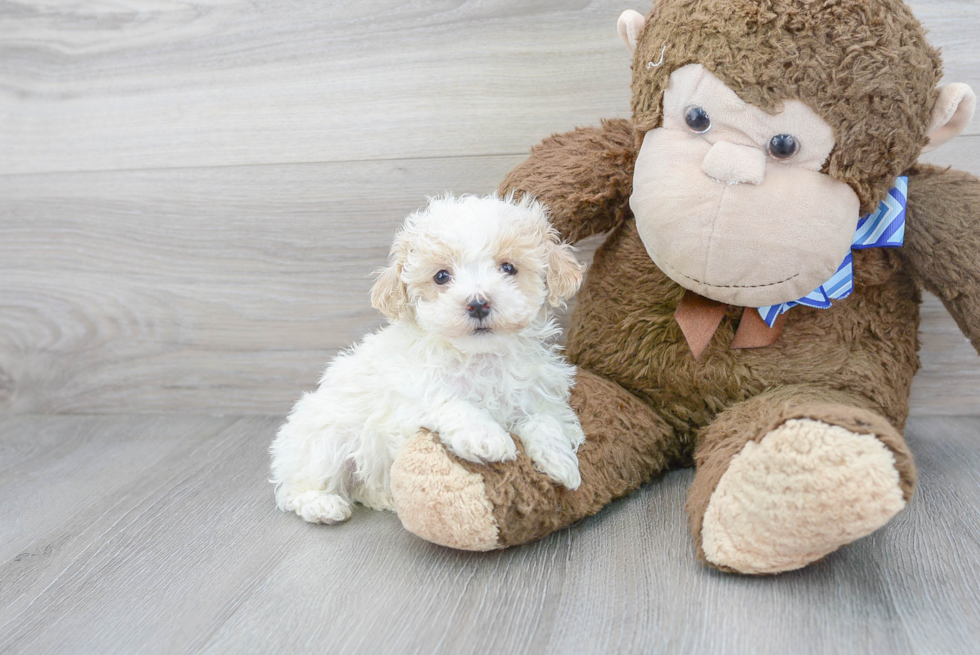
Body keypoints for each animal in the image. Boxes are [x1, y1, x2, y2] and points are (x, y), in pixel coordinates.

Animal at [268, 192, 584, 524]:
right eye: (441, 276)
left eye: (508, 268)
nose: (478, 303)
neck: (481, 358)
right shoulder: (408, 398)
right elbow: (449, 402)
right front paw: (486, 437)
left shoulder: (536, 393)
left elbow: (545, 420)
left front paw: (561, 461)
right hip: (324, 438)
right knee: (298, 486)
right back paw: (322, 504)